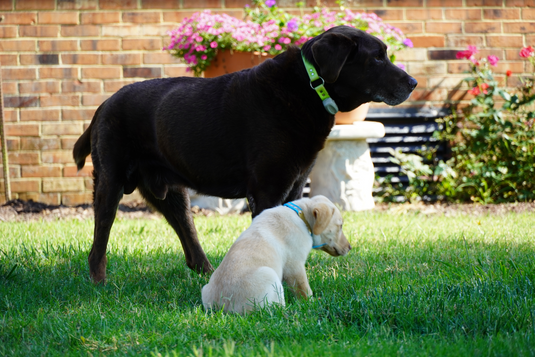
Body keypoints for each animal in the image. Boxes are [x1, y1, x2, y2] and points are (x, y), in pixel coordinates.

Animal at [73, 25, 416, 282]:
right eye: (377, 59)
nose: (413, 82)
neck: (309, 86)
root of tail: (104, 105)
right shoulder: (267, 189)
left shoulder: (294, 185)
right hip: (111, 183)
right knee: (98, 241)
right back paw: (99, 283)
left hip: (172, 195)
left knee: (187, 236)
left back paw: (207, 272)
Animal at [202, 193, 352, 312]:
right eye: (340, 226)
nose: (350, 247)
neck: (301, 215)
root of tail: (221, 307)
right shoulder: (295, 266)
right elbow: (304, 289)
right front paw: (312, 303)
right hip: (270, 276)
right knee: (278, 308)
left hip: (205, 289)